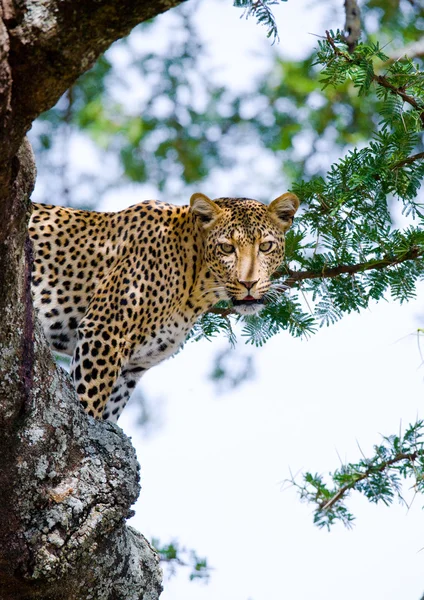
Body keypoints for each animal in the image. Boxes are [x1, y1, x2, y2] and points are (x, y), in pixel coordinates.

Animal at [28, 192, 300, 422]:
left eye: (265, 246)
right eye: (226, 248)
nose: (248, 283)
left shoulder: (131, 368)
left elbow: (109, 415)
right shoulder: (104, 332)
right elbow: (89, 400)